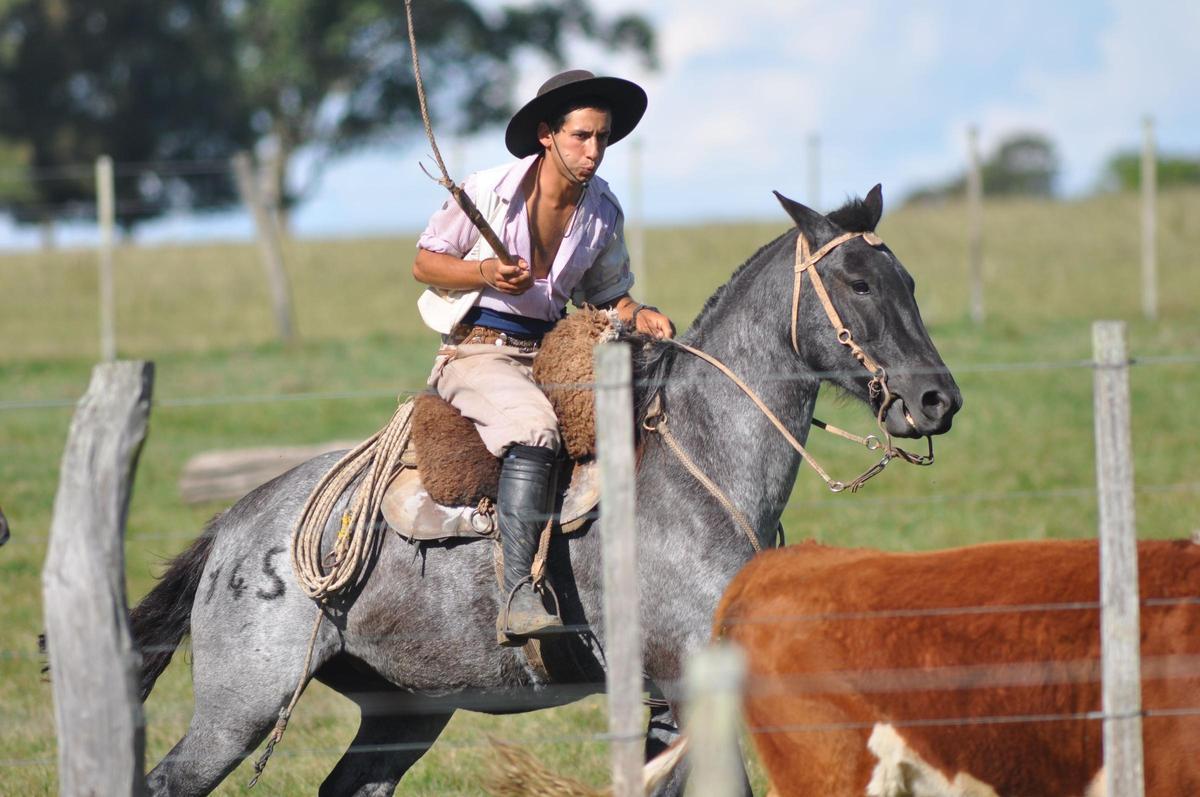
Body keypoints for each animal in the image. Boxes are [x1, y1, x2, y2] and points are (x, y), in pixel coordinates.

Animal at [130, 185, 961, 795]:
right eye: (857, 282)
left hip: (404, 709)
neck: (697, 462)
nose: (936, 399)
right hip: (239, 708)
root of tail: (233, 526)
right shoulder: (684, 681)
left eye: (910, 282)